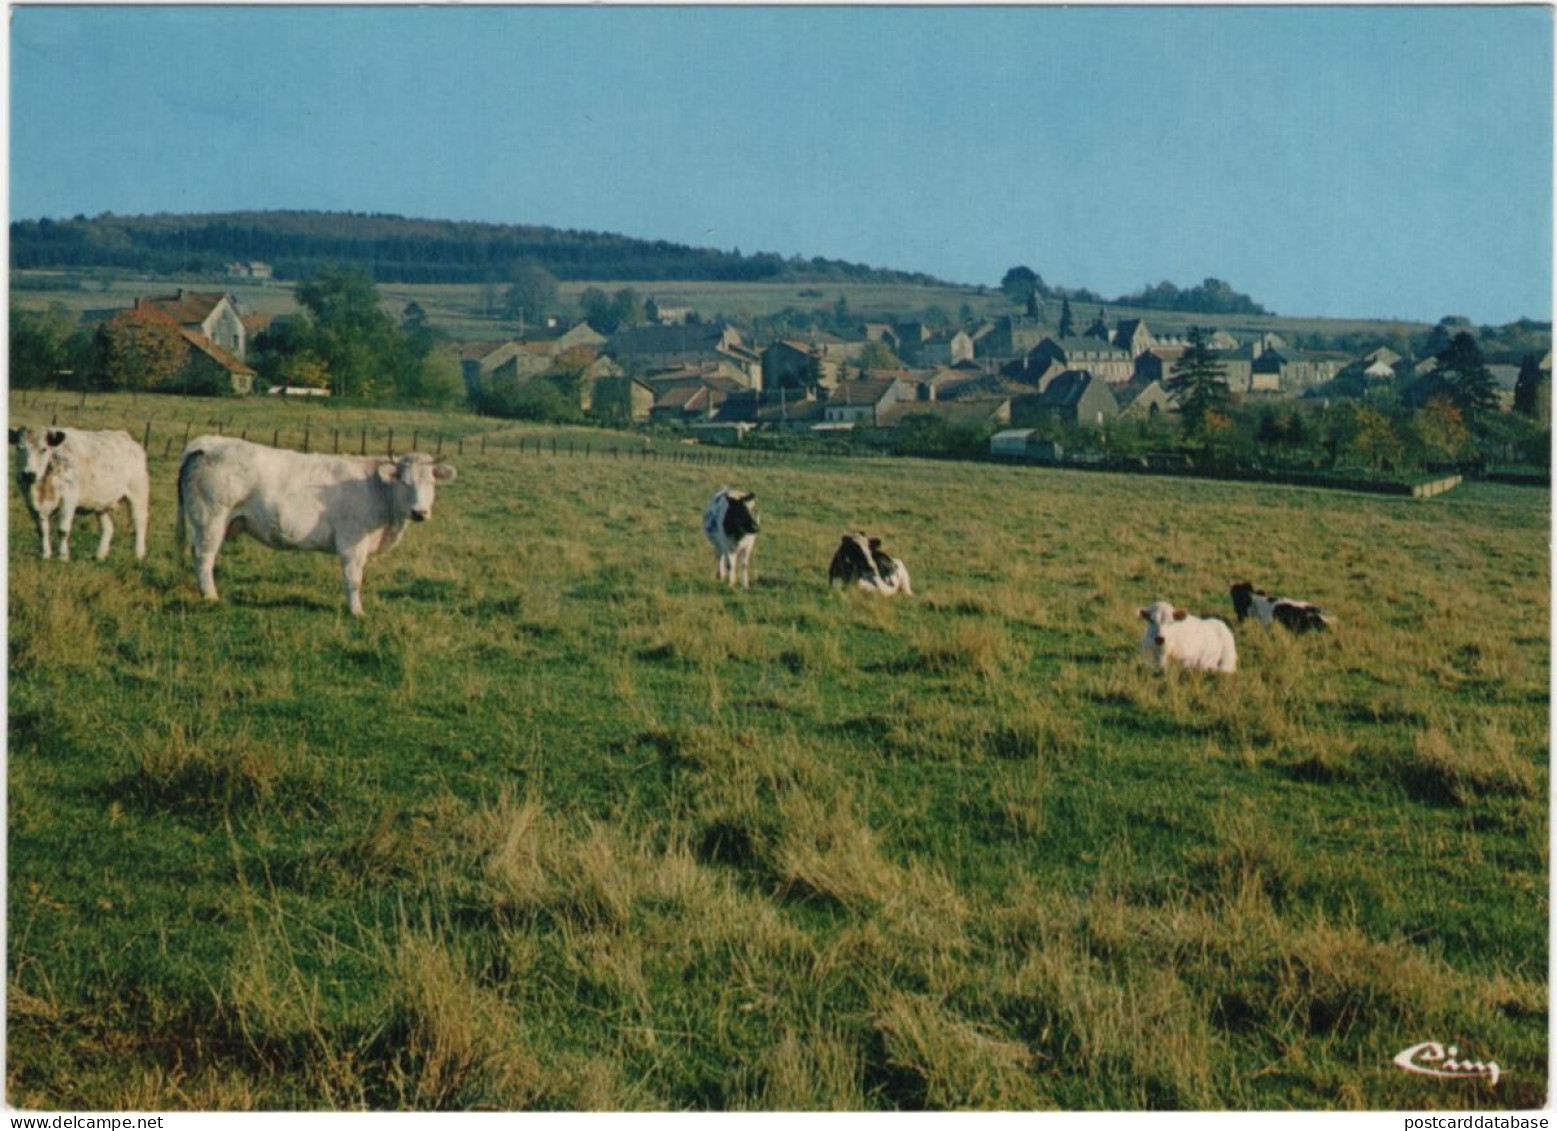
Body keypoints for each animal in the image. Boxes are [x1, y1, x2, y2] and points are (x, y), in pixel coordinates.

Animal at [11, 423, 149, 563]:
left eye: (43, 449)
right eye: (18, 448)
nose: (28, 474)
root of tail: (125, 437)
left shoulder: (68, 498)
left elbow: (63, 530)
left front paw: (63, 556)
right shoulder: (31, 503)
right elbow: (42, 530)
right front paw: (45, 555)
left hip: (138, 492)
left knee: (139, 522)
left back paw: (138, 554)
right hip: (101, 503)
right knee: (108, 528)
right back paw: (100, 555)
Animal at [178, 439, 454, 620]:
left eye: (431, 482)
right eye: (404, 482)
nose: (419, 512)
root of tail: (207, 443)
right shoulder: (352, 542)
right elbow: (353, 578)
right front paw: (357, 611)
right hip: (211, 518)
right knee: (204, 557)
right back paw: (211, 597)